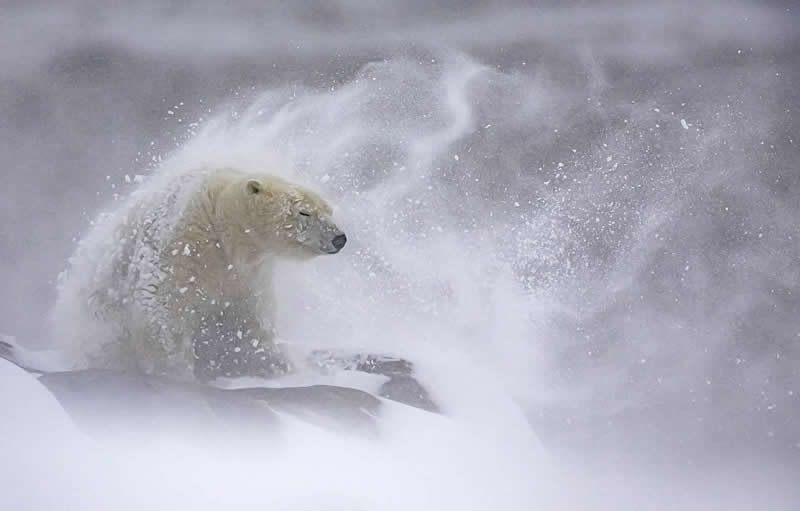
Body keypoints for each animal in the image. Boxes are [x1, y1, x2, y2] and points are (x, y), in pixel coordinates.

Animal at [51, 167, 346, 382]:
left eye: (329, 210)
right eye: (304, 211)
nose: (339, 238)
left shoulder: (250, 276)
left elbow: (249, 323)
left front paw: (281, 366)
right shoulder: (183, 244)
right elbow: (161, 310)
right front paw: (177, 374)